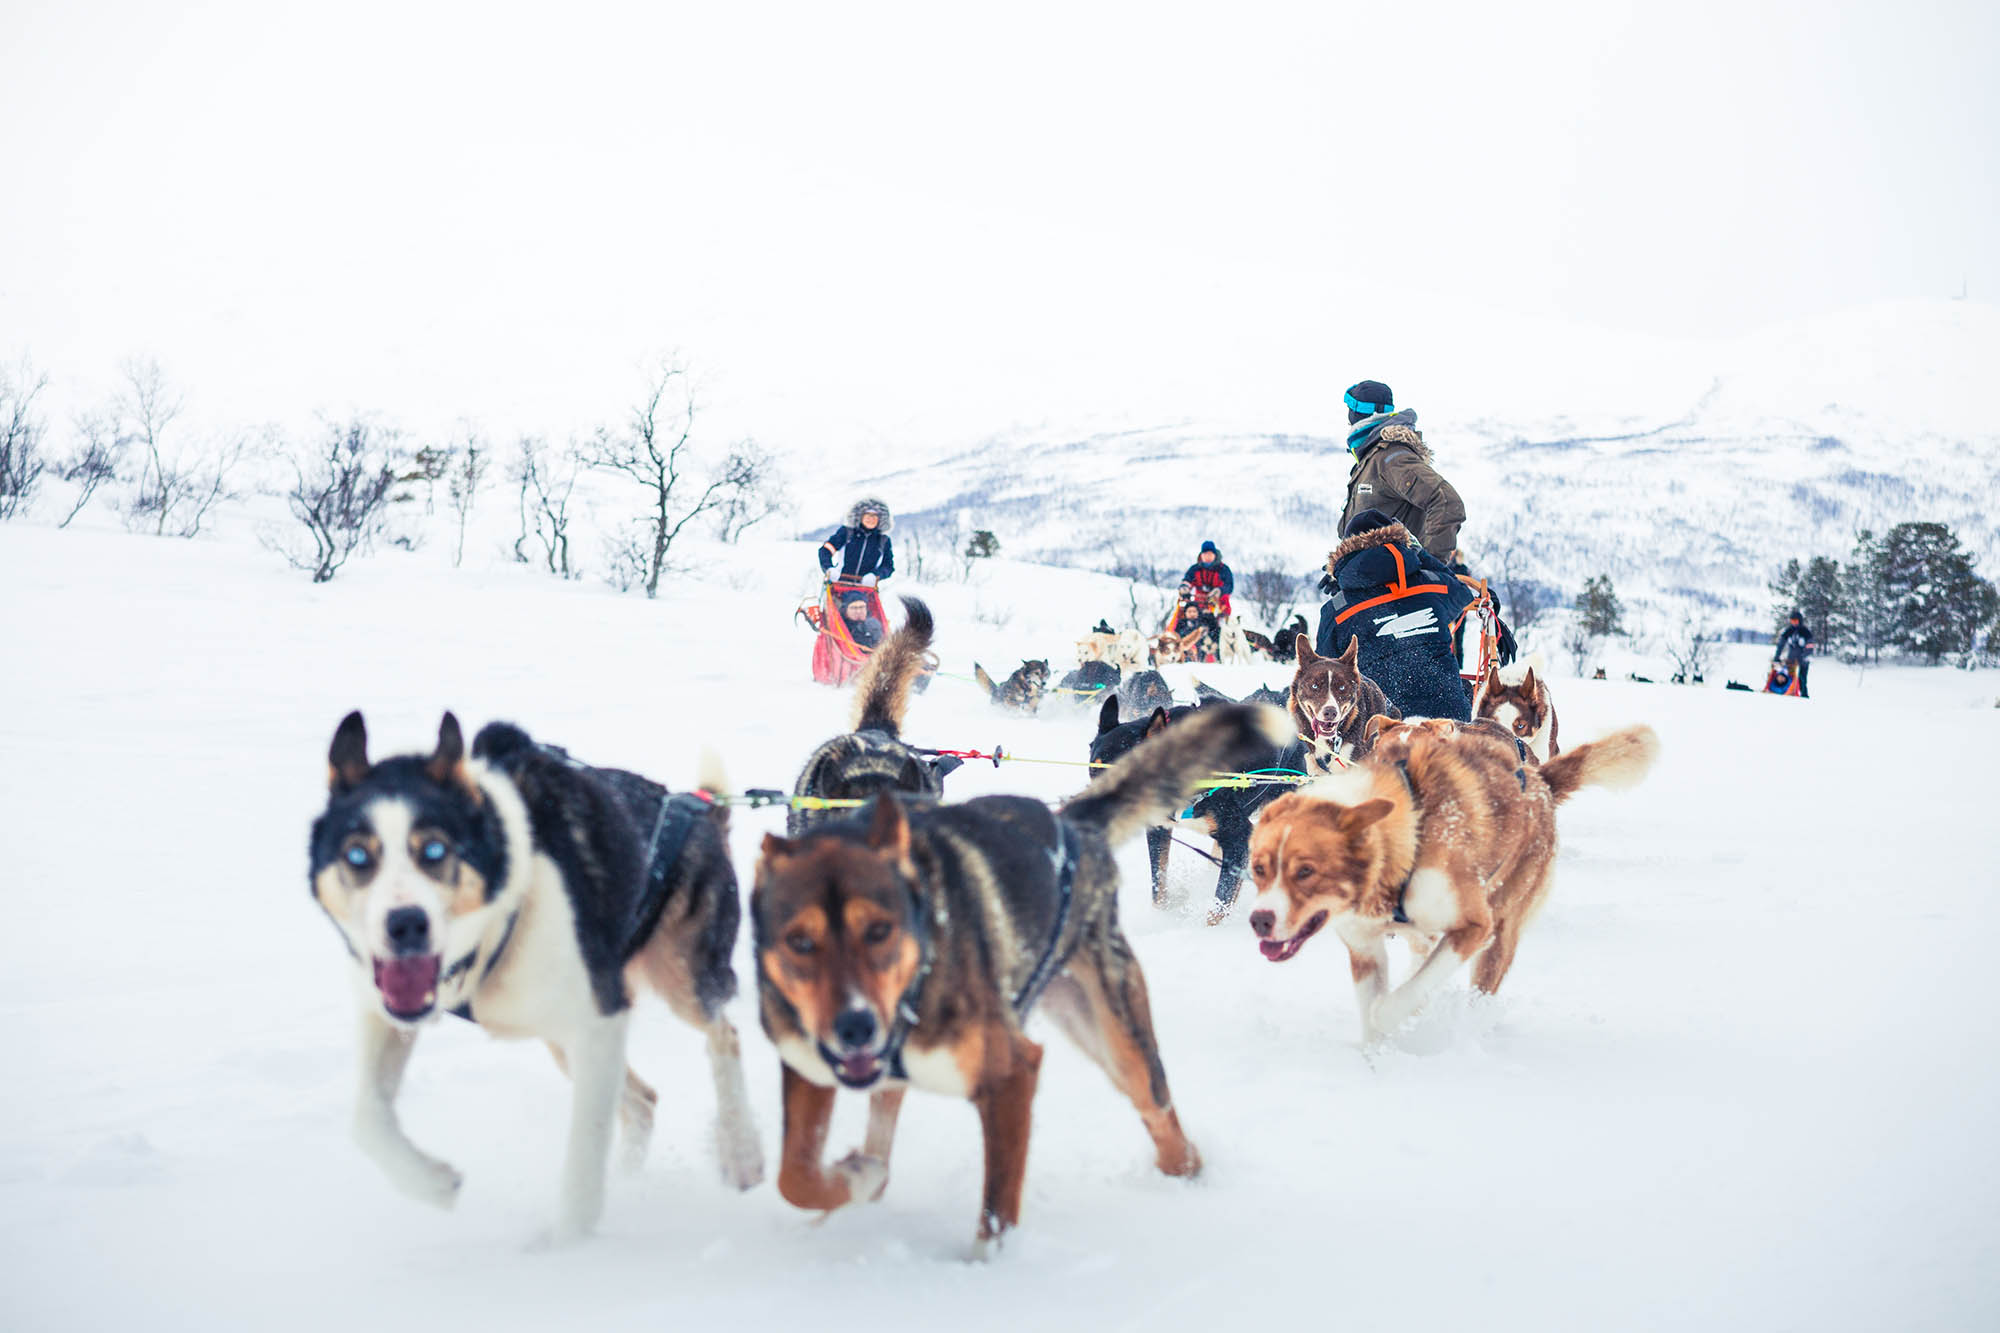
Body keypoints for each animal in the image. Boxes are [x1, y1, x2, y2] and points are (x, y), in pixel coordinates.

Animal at [1248, 716, 1656, 1040]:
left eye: (1306, 871)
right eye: (1258, 869)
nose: (1259, 920)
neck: (1408, 835)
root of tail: (1539, 781)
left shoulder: (1475, 927)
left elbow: (1395, 1003)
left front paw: (1398, 1016)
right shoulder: (1365, 948)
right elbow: (1373, 1014)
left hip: (1500, 932)